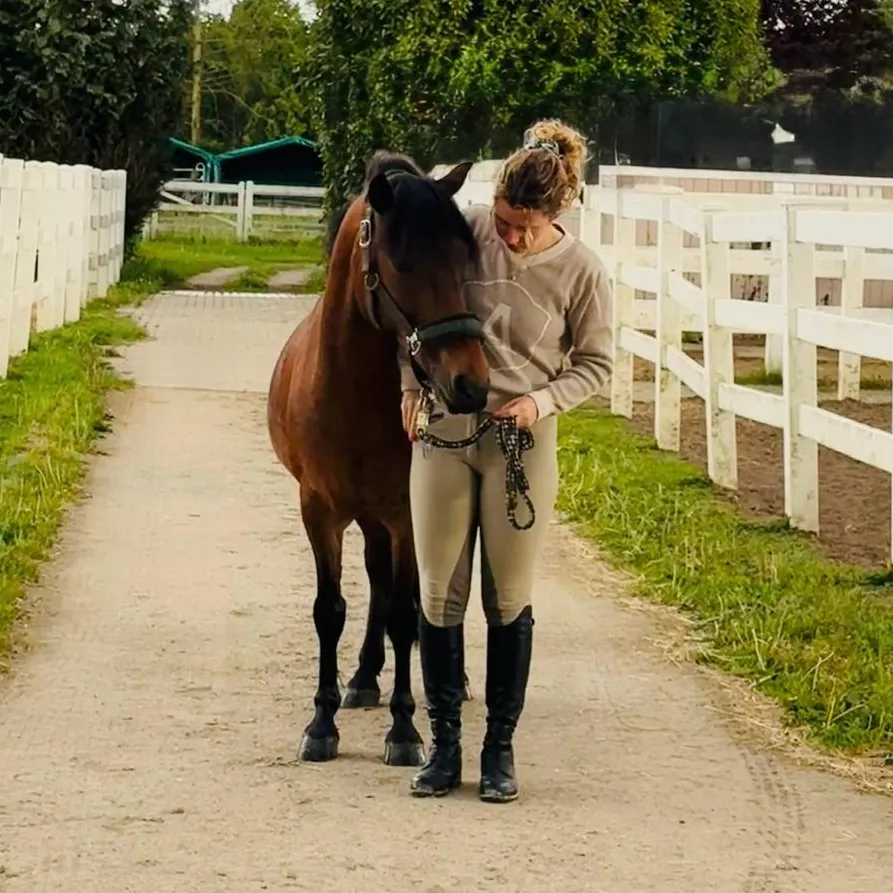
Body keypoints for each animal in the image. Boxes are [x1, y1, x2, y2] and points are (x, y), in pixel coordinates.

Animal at [267, 151, 491, 766]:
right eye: (403, 262)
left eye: (465, 259)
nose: (470, 384)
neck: (350, 392)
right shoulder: (319, 511)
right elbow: (332, 609)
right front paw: (321, 724)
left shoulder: (406, 514)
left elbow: (405, 615)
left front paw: (406, 729)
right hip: (365, 517)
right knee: (376, 578)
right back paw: (364, 678)